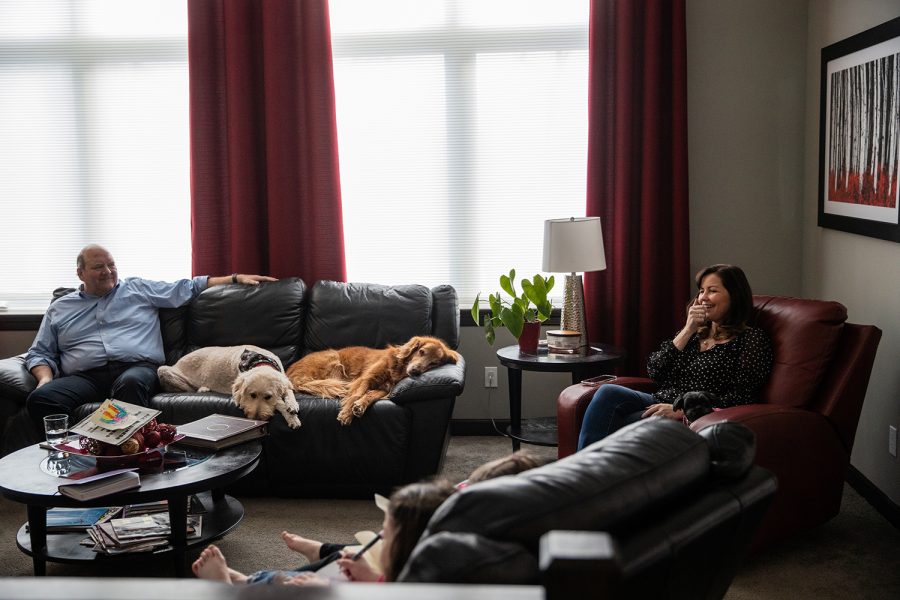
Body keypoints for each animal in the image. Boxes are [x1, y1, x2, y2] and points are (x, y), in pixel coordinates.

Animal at [156, 344, 300, 428]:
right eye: (252, 395)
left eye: (268, 397)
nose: (256, 418)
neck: (260, 361)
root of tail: (177, 362)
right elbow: (280, 402)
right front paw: (292, 417)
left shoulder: (284, 379)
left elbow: (289, 392)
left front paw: (292, 405)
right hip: (164, 370)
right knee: (190, 388)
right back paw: (203, 388)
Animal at [286, 332, 460, 426]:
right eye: (421, 352)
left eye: (434, 363)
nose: (416, 371)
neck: (397, 369)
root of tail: (290, 374)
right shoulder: (366, 379)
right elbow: (356, 394)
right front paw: (347, 414)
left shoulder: (384, 389)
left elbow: (370, 396)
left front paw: (359, 406)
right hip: (334, 359)